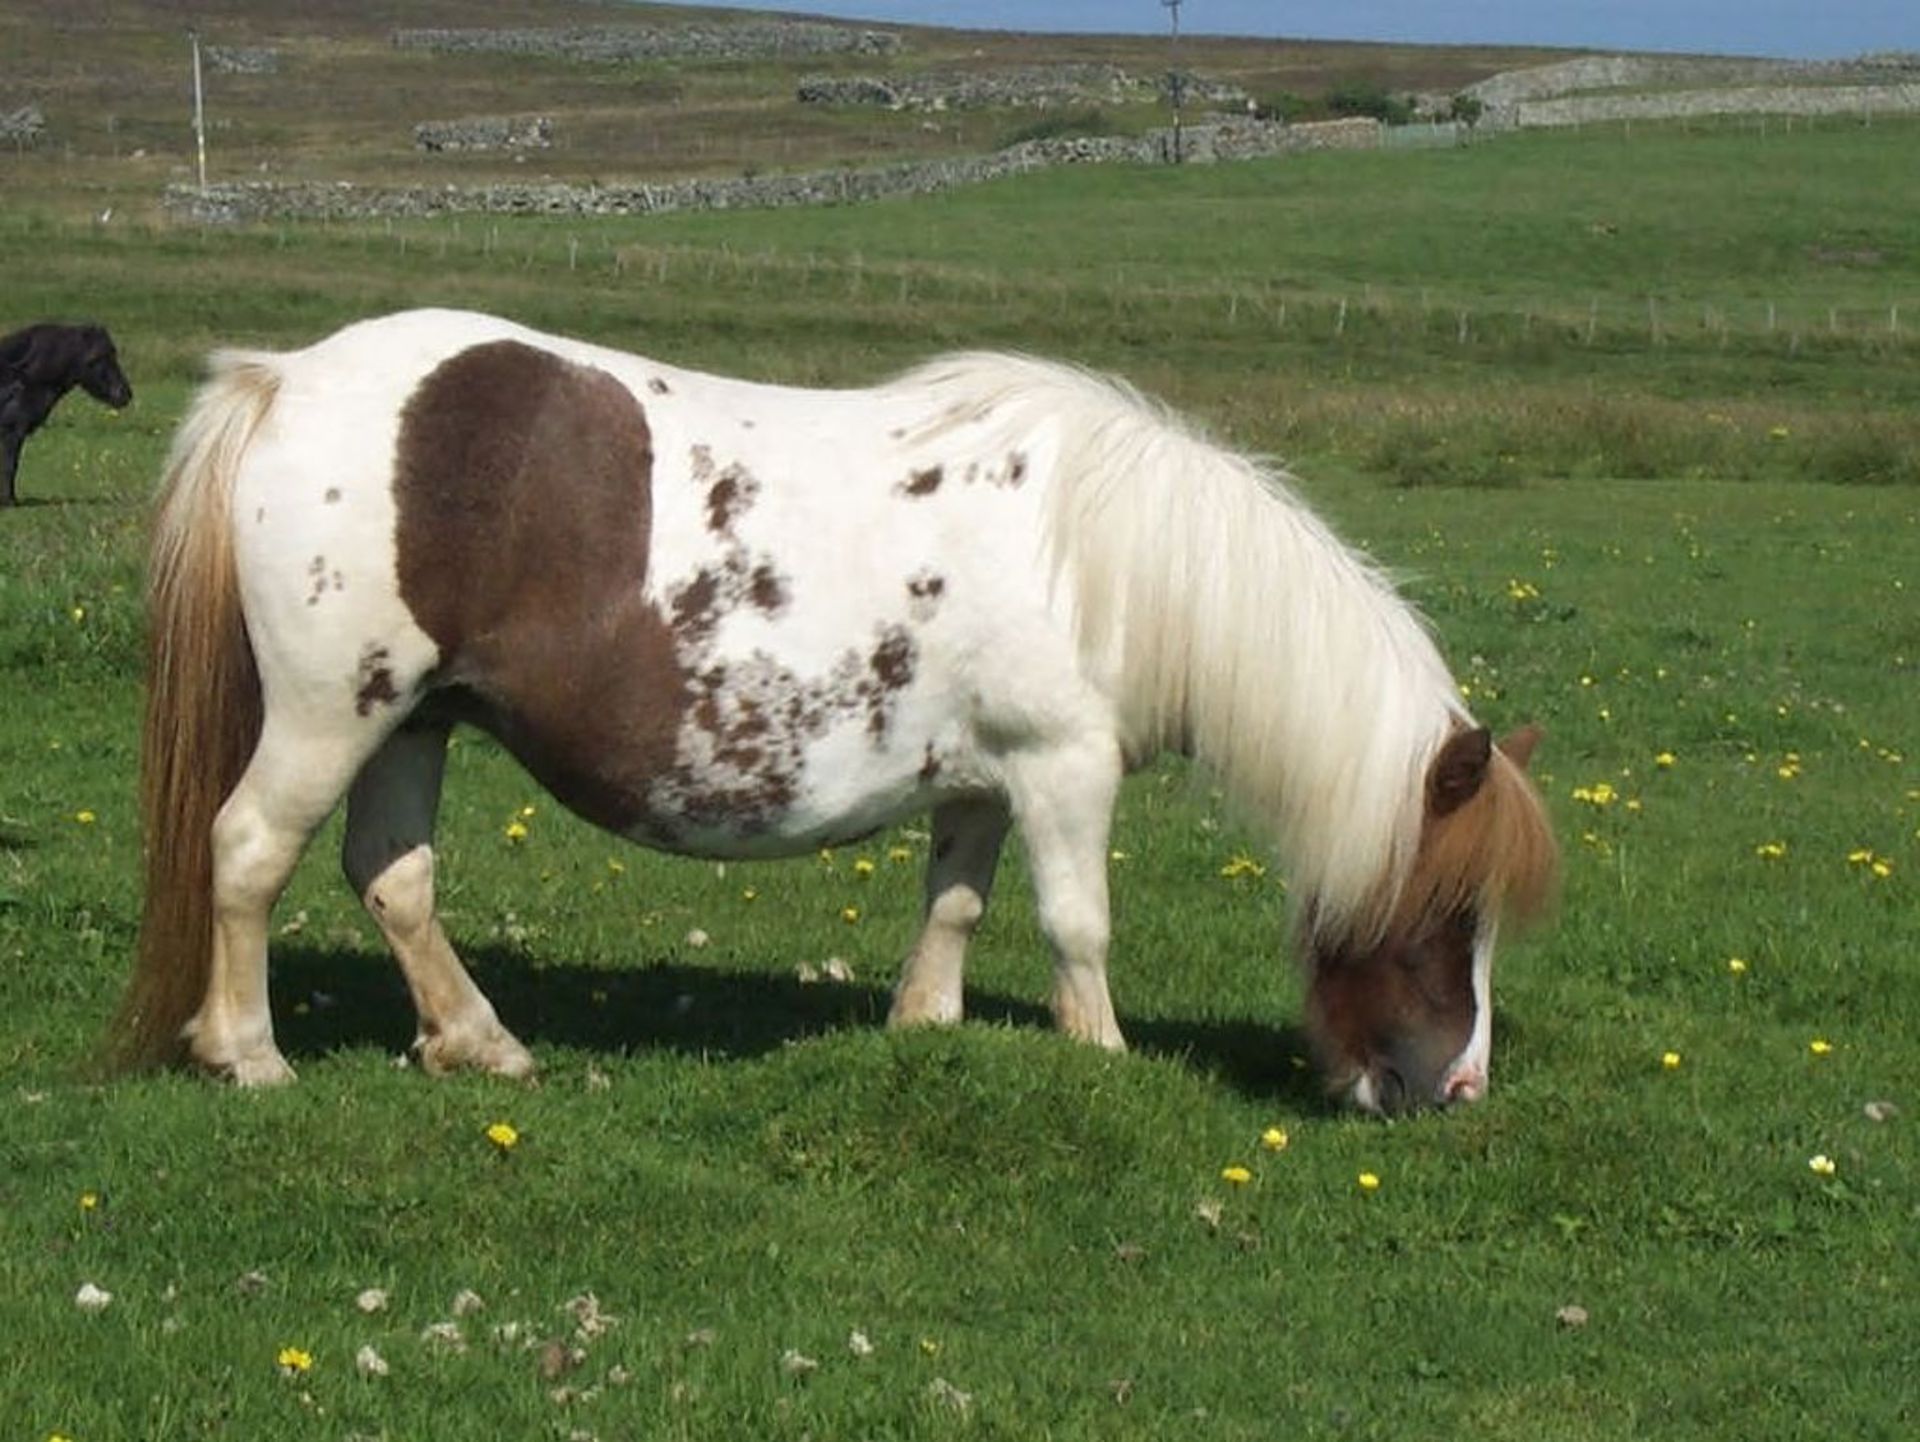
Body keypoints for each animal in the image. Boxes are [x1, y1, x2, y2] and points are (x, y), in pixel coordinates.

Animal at [108, 311, 1559, 1113]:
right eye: (1445, 909)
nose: (1458, 1087)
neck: (1109, 559)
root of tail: (284, 379)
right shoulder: (1064, 769)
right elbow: (1078, 926)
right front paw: (1101, 1058)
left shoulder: (983, 781)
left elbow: (956, 910)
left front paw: (925, 1028)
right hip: (333, 707)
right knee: (250, 850)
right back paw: (248, 1053)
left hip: (416, 716)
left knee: (392, 876)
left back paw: (481, 1042)